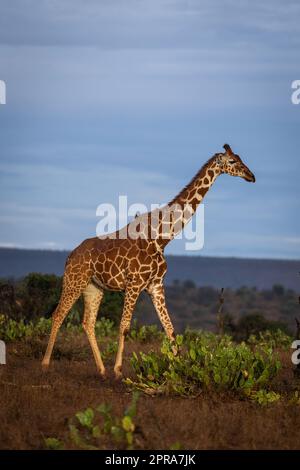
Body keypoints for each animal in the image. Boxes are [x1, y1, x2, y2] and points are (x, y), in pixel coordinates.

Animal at [41, 143, 254, 378]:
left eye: (241, 158)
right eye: (232, 161)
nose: (251, 176)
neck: (162, 238)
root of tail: (70, 255)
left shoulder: (156, 285)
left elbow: (170, 329)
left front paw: (180, 369)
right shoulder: (134, 283)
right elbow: (125, 326)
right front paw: (118, 370)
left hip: (94, 288)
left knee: (88, 323)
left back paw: (101, 369)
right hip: (74, 281)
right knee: (58, 315)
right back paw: (46, 364)